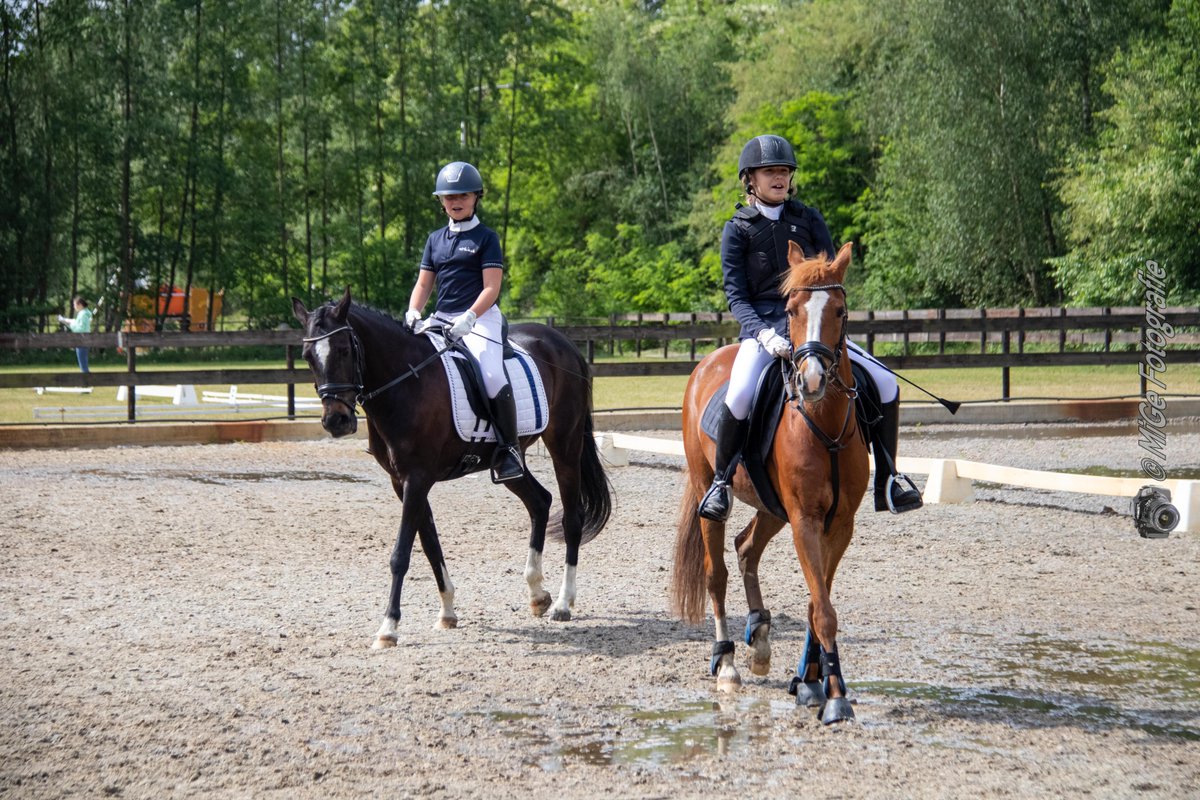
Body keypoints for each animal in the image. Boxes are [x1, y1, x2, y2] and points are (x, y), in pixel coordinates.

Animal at [292, 288, 612, 648]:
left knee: (572, 518)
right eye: (307, 356)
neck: (406, 383)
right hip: (509, 463)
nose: (336, 421)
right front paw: (446, 613)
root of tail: (563, 342)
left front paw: (388, 628)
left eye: (345, 350)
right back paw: (537, 594)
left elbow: (401, 554)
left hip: (565, 446)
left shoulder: (417, 479)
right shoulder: (402, 482)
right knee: (540, 502)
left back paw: (562, 603)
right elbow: (430, 544)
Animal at [670, 241, 869, 724]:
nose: (812, 380)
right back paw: (726, 663)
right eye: (791, 310)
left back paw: (759, 637)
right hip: (711, 492)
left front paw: (813, 682)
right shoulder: (805, 521)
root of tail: (709, 361)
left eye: (839, 310)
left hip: (770, 506)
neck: (824, 423)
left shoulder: (839, 524)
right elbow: (824, 609)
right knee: (716, 574)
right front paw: (836, 697)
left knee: (746, 548)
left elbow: (818, 603)